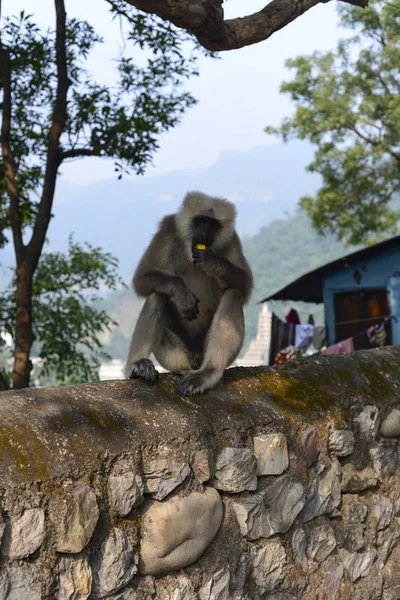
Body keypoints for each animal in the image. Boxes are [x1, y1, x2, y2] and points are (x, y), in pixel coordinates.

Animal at [125, 192, 253, 396]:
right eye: (200, 221)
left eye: (212, 224)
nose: (204, 232)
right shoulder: (168, 228)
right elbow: (142, 278)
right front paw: (181, 293)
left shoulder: (232, 238)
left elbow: (245, 285)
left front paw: (213, 262)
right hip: (175, 357)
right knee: (157, 296)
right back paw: (136, 366)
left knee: (233, 293)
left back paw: (208, 373)